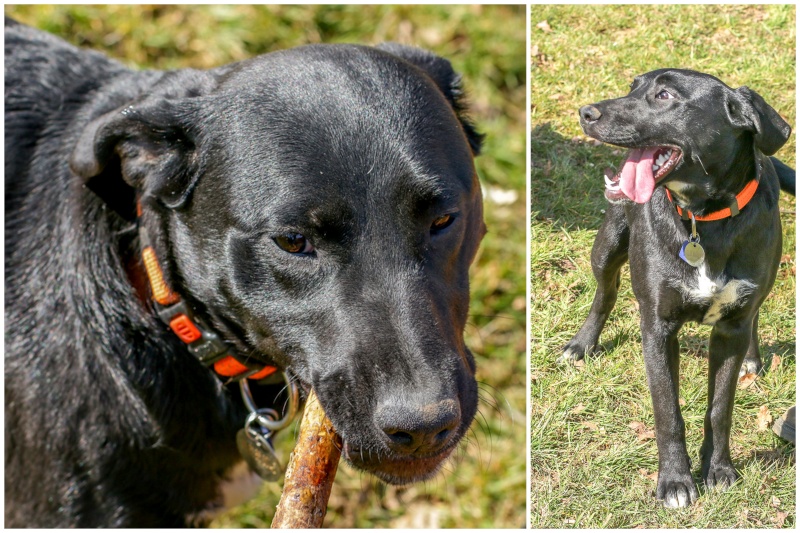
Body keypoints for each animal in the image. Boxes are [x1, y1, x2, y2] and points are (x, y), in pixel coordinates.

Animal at [564, 69, 792, 508]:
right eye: (633, 86)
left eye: (665, 95)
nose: (586, 112)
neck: (703, 219)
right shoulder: (657, 327)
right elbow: (667, 411)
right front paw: (675, 481)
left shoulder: (731, 328)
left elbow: (719, 409)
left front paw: (718, 470)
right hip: (607, 245)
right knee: (605, 294)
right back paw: (582, 344)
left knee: (754, 314)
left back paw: (752, 359)